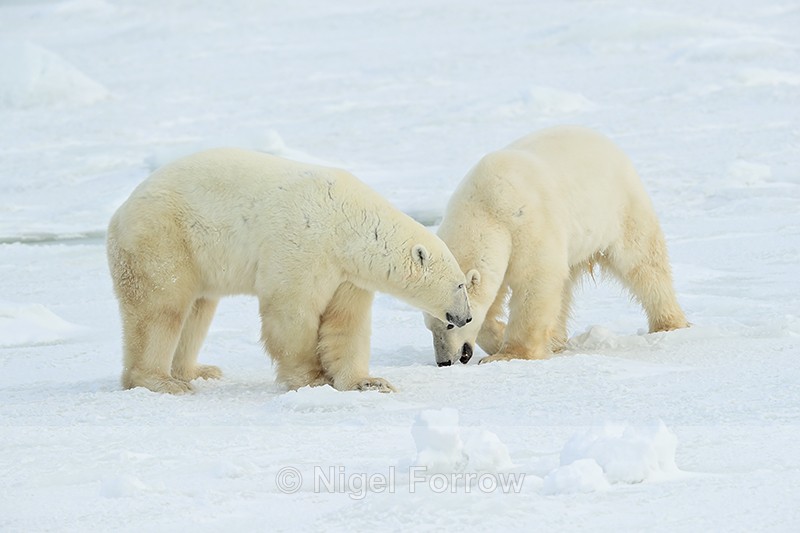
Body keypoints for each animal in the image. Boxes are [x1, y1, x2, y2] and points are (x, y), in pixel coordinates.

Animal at [107, 148, 472, 394]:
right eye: (460, 285)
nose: (466, 317)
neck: (346, 223)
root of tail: (120, 212)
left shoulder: (347, 275)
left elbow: (346, 324)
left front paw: (369, 382)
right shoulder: (303, 243)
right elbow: (292, 312)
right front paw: (312, 379)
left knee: (198, 312)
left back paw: (198, 371)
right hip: (165, 239)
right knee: (161, 309)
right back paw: (161, 381)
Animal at [424, 125, 688, 366]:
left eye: (451, 323)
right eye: (429, 325)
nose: (444, 361)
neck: (485, 208)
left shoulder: (528, 225)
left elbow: (534, 281)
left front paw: (508, 354)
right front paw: (498, 338)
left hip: (618, 209)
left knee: (643, 262)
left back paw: (669, 323)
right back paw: (556, 340)